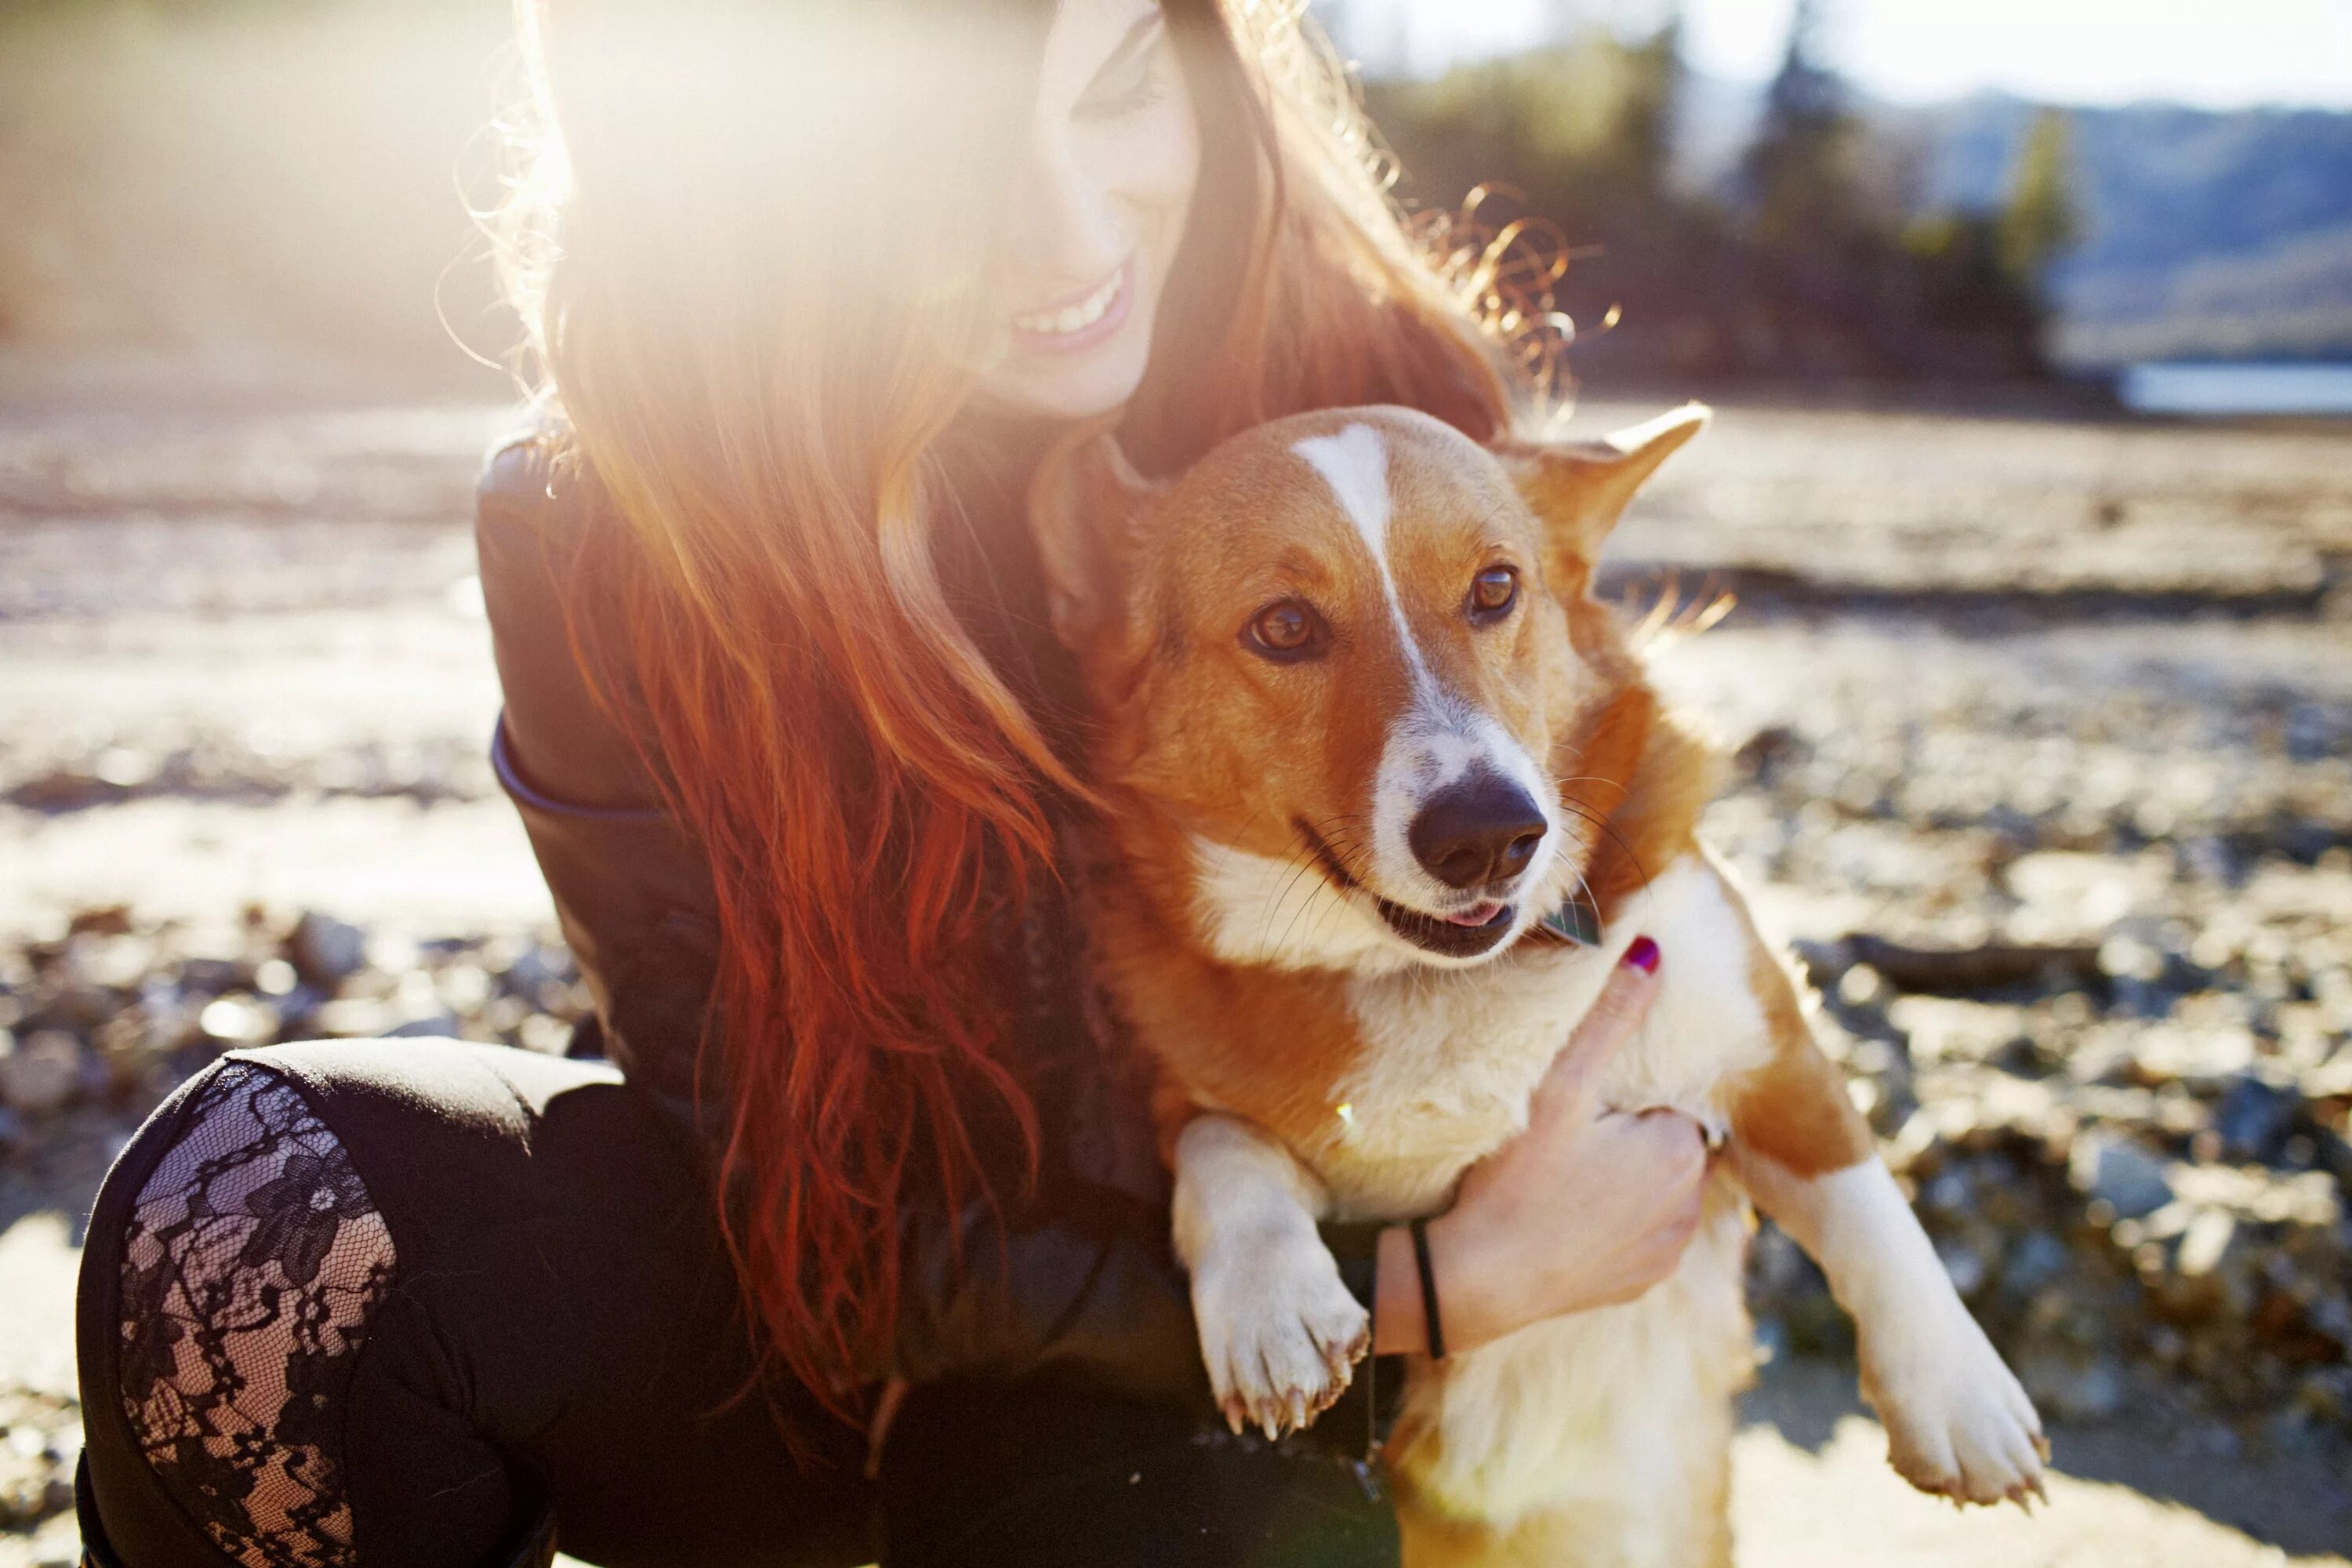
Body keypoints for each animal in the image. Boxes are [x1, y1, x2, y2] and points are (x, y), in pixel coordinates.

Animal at [1025, 408, 2042, 1568]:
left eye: (1496, 588)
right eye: (1283, 626)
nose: (1489, 835)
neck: (1429, 975)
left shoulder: (1764, 1043)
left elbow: (1867, 1202)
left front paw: (1961, 1400)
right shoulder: (1175, 1097)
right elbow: (1223, 1148)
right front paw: (1271, 1303)